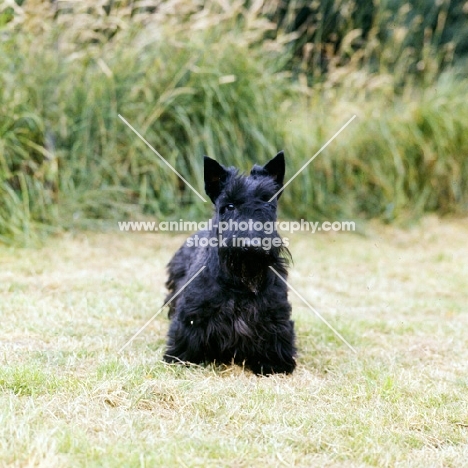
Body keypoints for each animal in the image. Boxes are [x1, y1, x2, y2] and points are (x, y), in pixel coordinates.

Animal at [165, 152, 296, 374]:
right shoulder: (192, 313)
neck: (240, 279)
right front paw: (181, 357)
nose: (251, 245)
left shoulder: (275, 314)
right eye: (230, 206)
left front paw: (273, 363)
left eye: (267, 203)